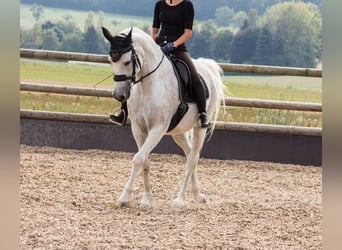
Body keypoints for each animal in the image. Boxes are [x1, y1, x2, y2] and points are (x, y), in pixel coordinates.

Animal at [101, 26, 226, 207]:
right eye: (111, 61)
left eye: (126, 62)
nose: (119, 95)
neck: (147, 85)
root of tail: (206, 66)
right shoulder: (138, 128)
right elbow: (144, 160)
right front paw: (146, 199)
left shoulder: (157, 129)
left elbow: (138, 159)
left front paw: (124, 197)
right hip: (179, 132)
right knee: (189, 154)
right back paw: (197, 195)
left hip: (199, 127)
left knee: (192, 159)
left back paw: (180, 199)